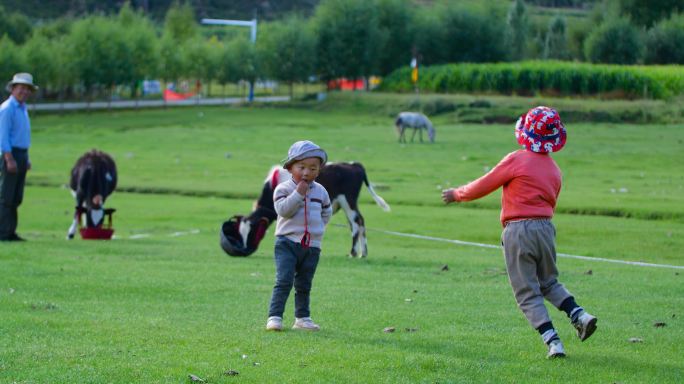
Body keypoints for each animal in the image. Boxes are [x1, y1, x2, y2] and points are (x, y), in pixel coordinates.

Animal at [227, 162, 390, 258]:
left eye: (252, 232)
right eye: (240, 232)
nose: (244, 249)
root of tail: (354, 164)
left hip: (348, 201)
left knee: (356, 223)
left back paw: (353, 253)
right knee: (359, 222)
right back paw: (364, 253)